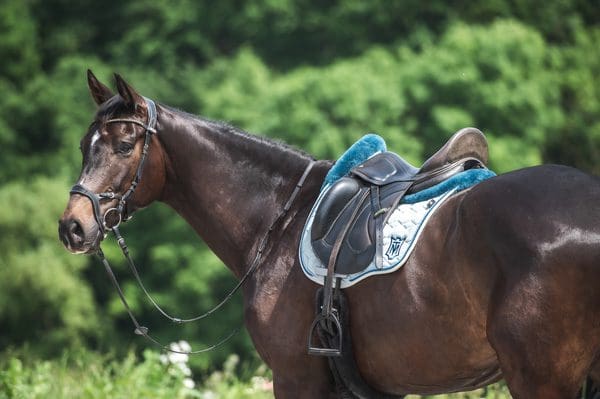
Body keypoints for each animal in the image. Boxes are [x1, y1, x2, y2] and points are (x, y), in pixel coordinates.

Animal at [57, 72, 600, 399]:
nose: (72, 225)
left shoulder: (295, 378)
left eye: (124, 145)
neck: (278, 220)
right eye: (85, 144)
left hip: (541, 377)